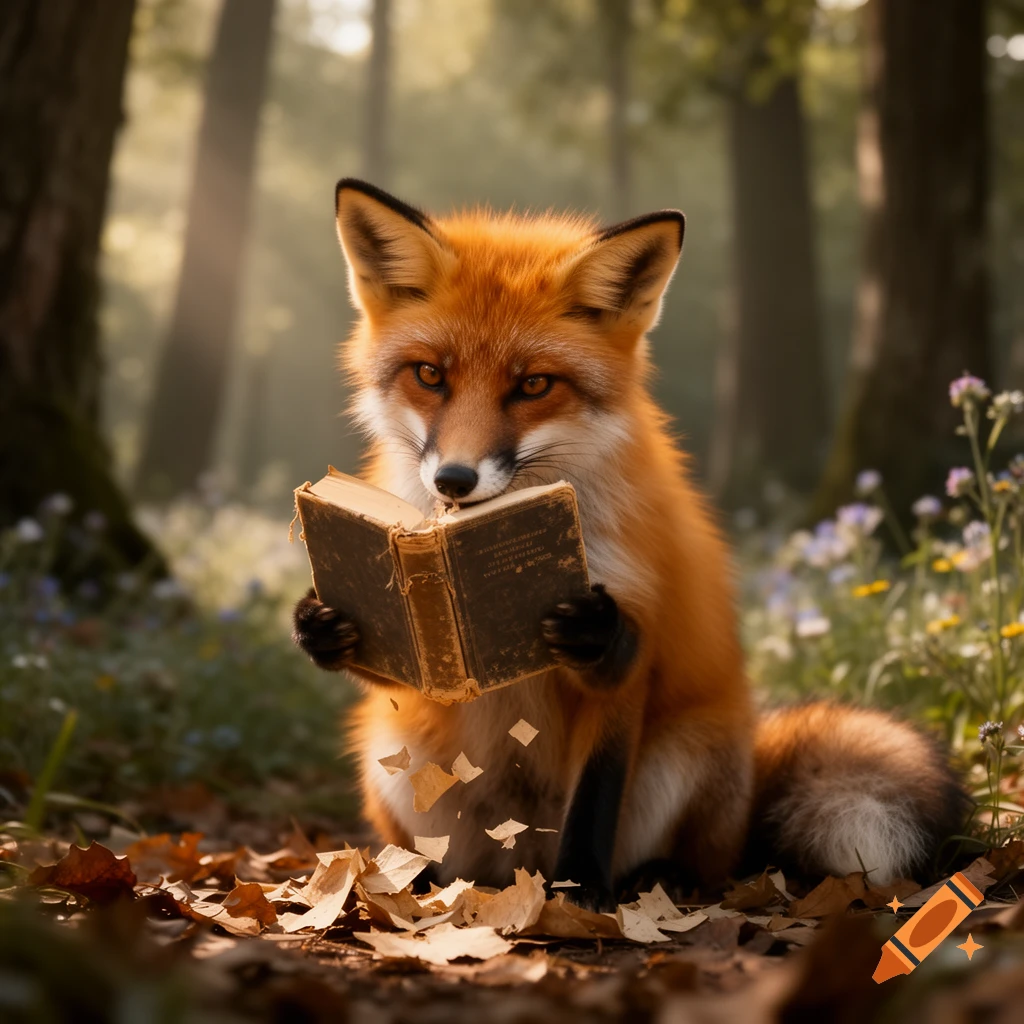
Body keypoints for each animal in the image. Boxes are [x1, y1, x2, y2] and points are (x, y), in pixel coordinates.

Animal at [293, 178, 968, 910]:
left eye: (533, 384)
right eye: (430, 375)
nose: (454, 480)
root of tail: (516, 859)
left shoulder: (630, 663)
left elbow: (596, 790)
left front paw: (580, 896)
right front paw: (321, 626)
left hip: (687, 755)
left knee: (705, 863)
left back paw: (652, 882)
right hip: (392, 753)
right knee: (444, 861)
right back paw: (412, 883)